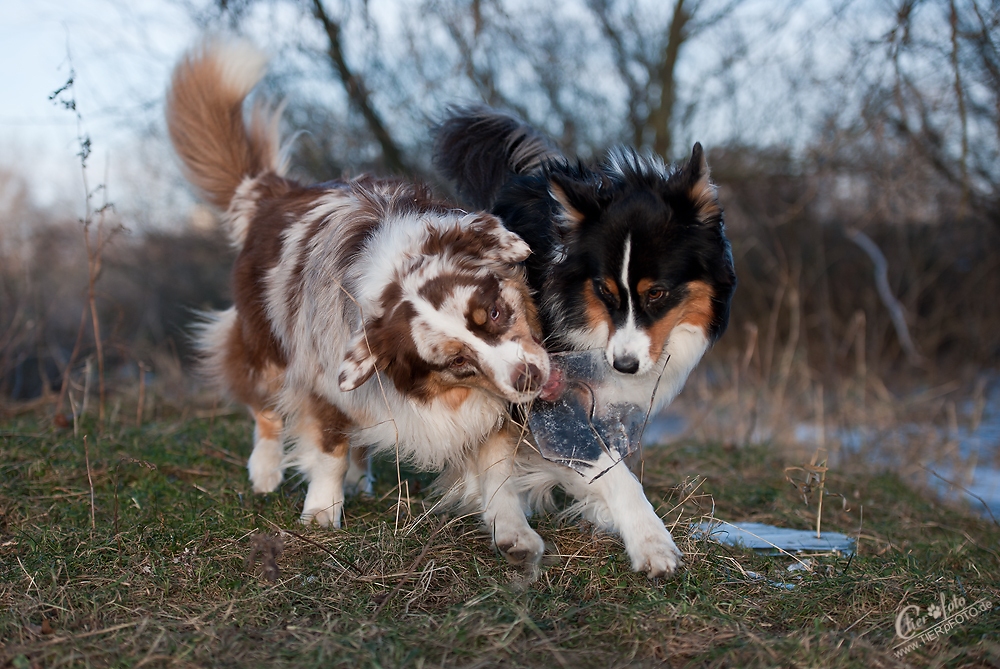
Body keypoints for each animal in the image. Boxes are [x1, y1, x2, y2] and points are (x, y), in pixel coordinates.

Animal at [168, 41, 552, 564]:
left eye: (493, 312)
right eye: (455, 361)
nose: (529, 377)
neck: (393, 270)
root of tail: (274, 192)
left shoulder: (489, 398)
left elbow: (497, 470)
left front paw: (513, 531)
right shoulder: (324, 376)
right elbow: (327, 448)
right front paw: (320, 513)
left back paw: (359, 474)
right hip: (265, 345)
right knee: (265, 408)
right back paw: (266, 470)